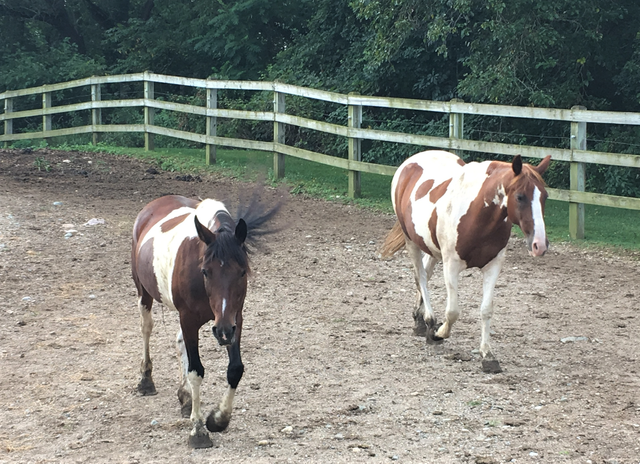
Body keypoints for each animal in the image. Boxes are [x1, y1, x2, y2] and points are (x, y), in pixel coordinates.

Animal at [131, 194, 278, 448]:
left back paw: (186, 398)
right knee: (146, 329)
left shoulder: (234, 319)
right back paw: (146, 381)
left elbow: (235, 369)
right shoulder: (190, 319)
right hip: (143, 291)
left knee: (179, 341)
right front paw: (198, 431)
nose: (222, 331)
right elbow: (196, 371)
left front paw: (217, 420)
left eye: (242, 271)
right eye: (205, 271)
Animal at [380, 150, 552, 374]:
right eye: (520, 196)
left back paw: (419, 321)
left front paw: (488, 356)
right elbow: (453, 311)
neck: (478, 214)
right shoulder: (451, 265)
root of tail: (410, 163)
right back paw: (429, 322)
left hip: (431, 248)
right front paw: (437, 333)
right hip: (412, 242)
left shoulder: (493, 265)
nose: (540, 245)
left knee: (425, 273)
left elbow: (486, 310)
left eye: (545, 196)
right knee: (421, 277)